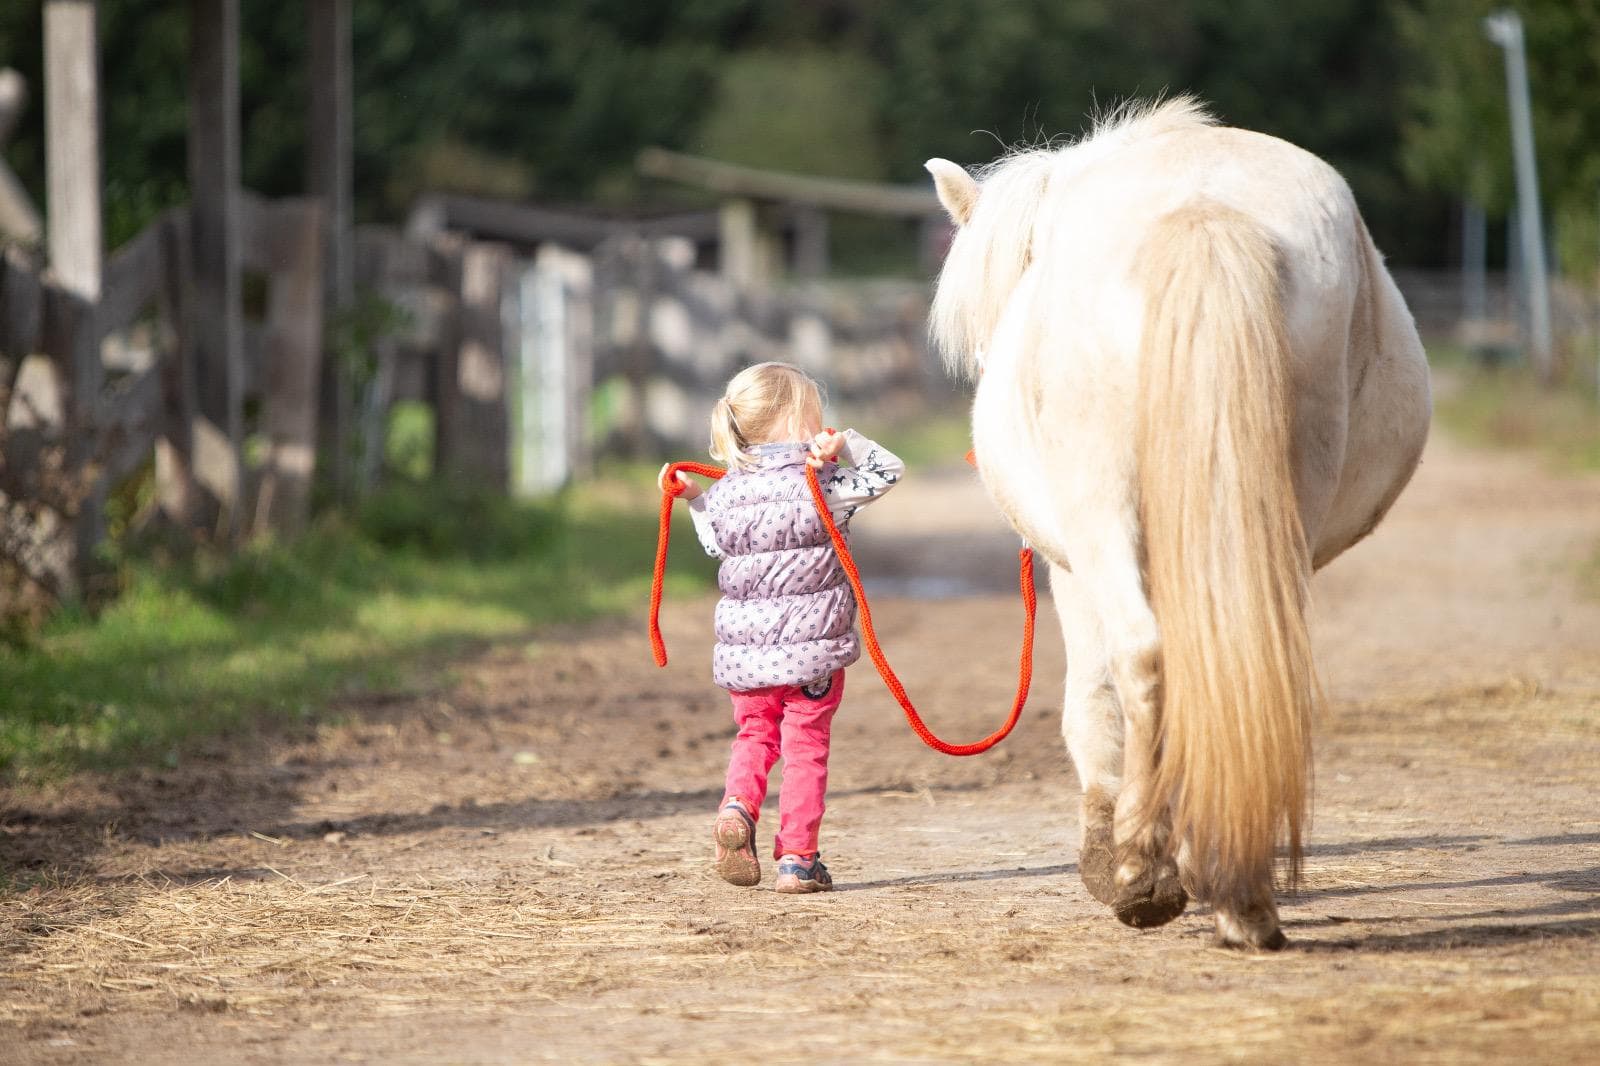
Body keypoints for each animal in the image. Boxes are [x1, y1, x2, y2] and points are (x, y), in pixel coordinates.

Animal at [925, 98, 1431, 950]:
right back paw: (1242, 892)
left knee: (1144, 657)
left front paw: (1116, 854)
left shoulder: (1072, 571)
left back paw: (1143, 875)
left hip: (1100, 518)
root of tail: (1205, 209)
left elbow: (1095, 698)